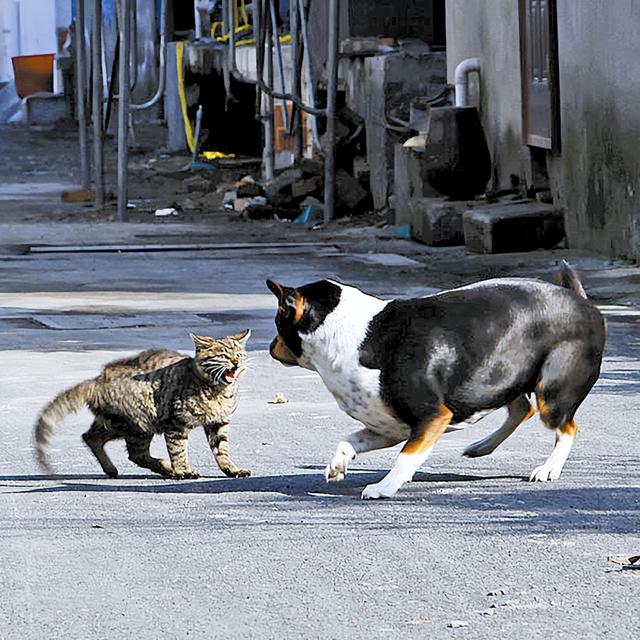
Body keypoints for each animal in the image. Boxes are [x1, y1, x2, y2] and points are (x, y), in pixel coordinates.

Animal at [34, 332, 250, 478]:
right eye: (223, 355)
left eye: (239, 355)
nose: (236, 363)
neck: (218, 391)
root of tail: (97, 380)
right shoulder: (176, 424)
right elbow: (178, 451)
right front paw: (184, 471)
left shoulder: (219, 423)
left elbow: (222, 450)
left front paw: (231, 469)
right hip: (140, 422)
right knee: (135, 454)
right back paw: (168, 468)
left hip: (118, 423)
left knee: (91, 437)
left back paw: (113, 468)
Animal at [264, 262, 604, 500]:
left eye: (279, 320)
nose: (269, 346)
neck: (352, 334)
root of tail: (582, 301)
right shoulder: (388, 427)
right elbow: (348, 440)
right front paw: (338, 465)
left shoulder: (431, 417)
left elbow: (405, 459)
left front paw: (384, 487)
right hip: (501, 377)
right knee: (522, 409)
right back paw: (481, 447)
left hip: (552, 394)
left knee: (566, 428)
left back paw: (548, 468)